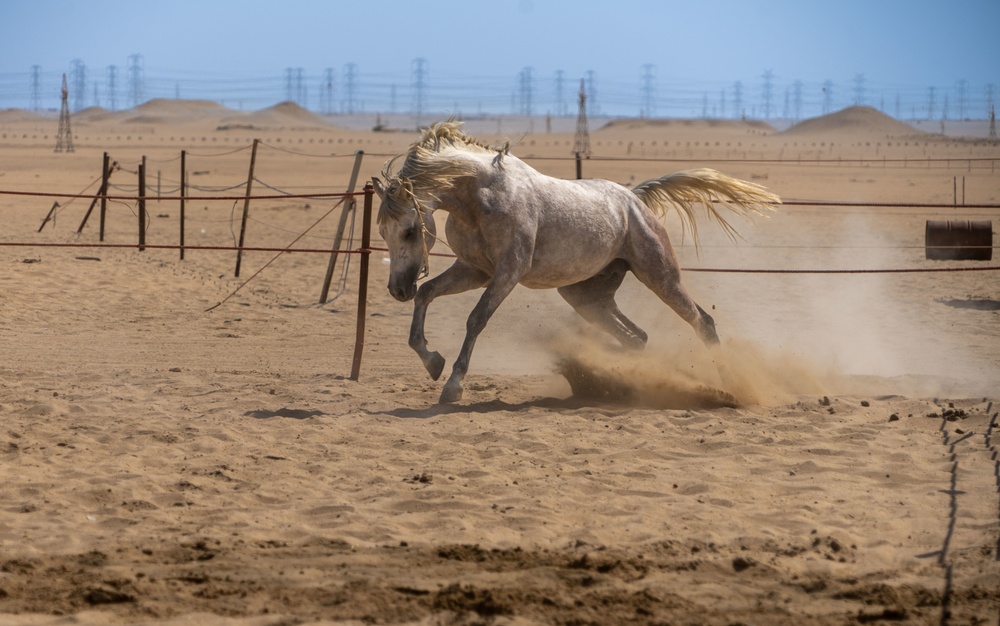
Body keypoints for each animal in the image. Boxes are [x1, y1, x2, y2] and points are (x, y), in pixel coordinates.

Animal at [372, 121, 776, 402]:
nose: (397, 290)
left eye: (410, 230)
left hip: (661, 276)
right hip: (586, 296)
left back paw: (732, 387)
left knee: (702, 322)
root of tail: (634, 199)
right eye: (383, 232)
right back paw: (615, 382)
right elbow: (427, 293)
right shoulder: (474, 270)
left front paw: (453, 386)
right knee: (637, 337)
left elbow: (476, 319)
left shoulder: (507, 273)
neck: (480, 196)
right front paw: (432, 362)